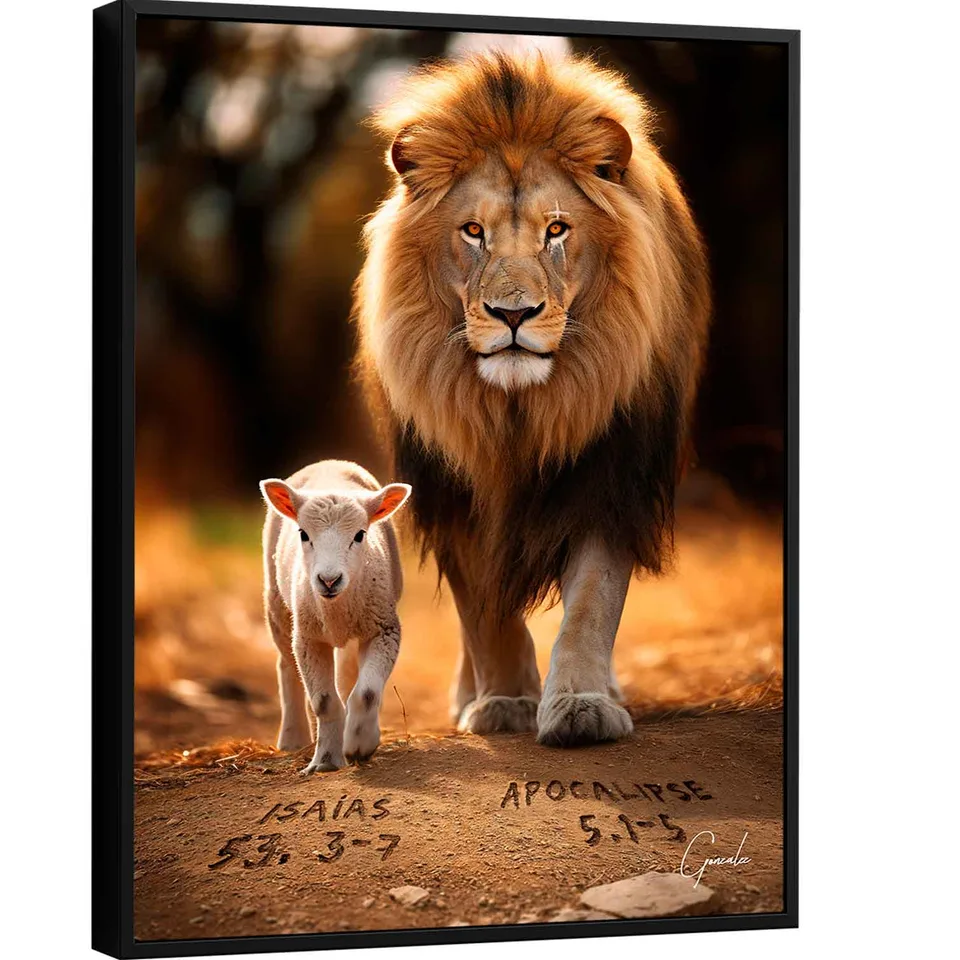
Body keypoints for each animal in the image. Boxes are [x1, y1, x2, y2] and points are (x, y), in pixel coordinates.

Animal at [353, 52, 710, 746]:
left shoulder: (609, 478)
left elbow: (593, 603)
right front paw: (504, 702)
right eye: (473, 232)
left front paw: (580, 706)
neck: (518, 412)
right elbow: (482, 610)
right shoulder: (454, 491)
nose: (512, 314)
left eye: (556, 230)